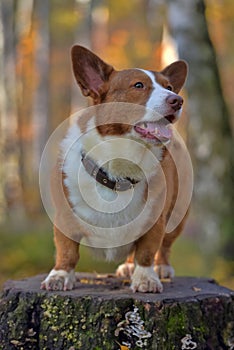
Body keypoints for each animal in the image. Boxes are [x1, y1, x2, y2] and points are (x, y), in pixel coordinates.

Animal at [41, 45, 189, 292]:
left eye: (168, 87)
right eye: (138, 85)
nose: (178, 100)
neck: (119, 172)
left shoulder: (155, 221)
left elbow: (146, 252)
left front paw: (146, 279)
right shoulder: (64, 216)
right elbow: (67, 251)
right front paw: (59, 276)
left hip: (177, 215)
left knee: (164, 245)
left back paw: (161, 267)